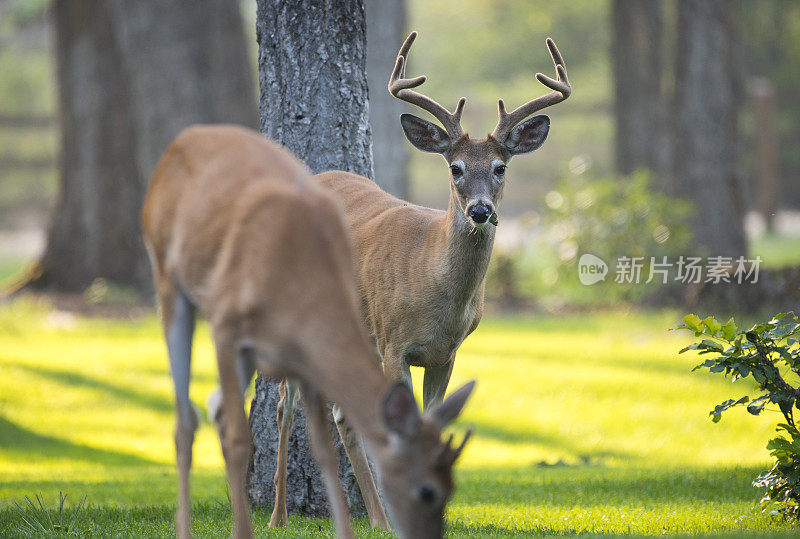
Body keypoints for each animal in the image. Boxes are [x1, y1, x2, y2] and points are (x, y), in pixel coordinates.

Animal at [141, 123, 476, 539]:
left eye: (453, 485)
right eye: (426, 490)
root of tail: (185, 139)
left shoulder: (308, 354)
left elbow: (324, 450)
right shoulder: (228, 328)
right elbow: (239, 437)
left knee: (215, 405)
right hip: (169, 281)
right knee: (186, 420)